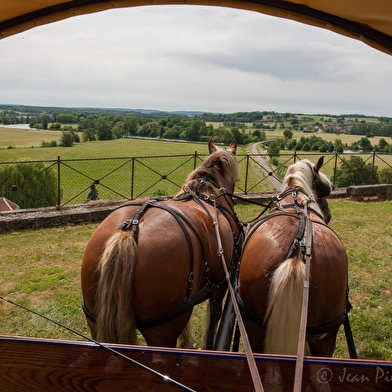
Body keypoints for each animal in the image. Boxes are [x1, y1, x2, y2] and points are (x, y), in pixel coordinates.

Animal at [80, 139, 242, 348]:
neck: (208, 192)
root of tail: (129, 230)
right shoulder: (220, 287)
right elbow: (213, 321)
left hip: (95, 321)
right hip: (162, 330)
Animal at [236, 158, 350, 388]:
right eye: (323, 187)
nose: (328, 213)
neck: (296, 195)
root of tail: (298, 254)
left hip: (253, 326)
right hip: (326, 337)